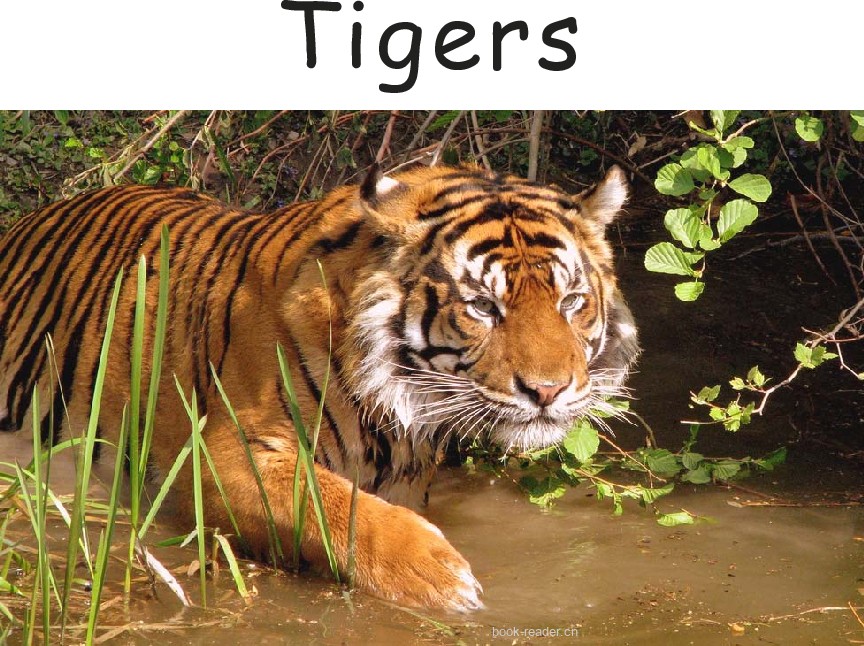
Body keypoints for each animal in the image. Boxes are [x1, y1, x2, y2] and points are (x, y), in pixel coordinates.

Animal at [0, 163, 639, 611]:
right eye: (483, 306)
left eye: (571, 302)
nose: (548, 391)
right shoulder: (218, 456)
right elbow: (336, 504)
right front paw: (445, 581)